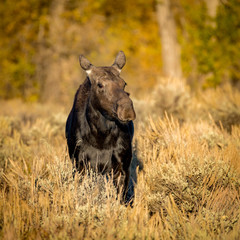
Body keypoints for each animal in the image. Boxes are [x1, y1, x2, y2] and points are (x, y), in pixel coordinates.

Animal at [65, 50, 136, 201]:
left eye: (124, 83)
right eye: (100, 84)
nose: (127, 109)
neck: (101, 136)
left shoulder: (122, 166)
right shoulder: (80, 165)